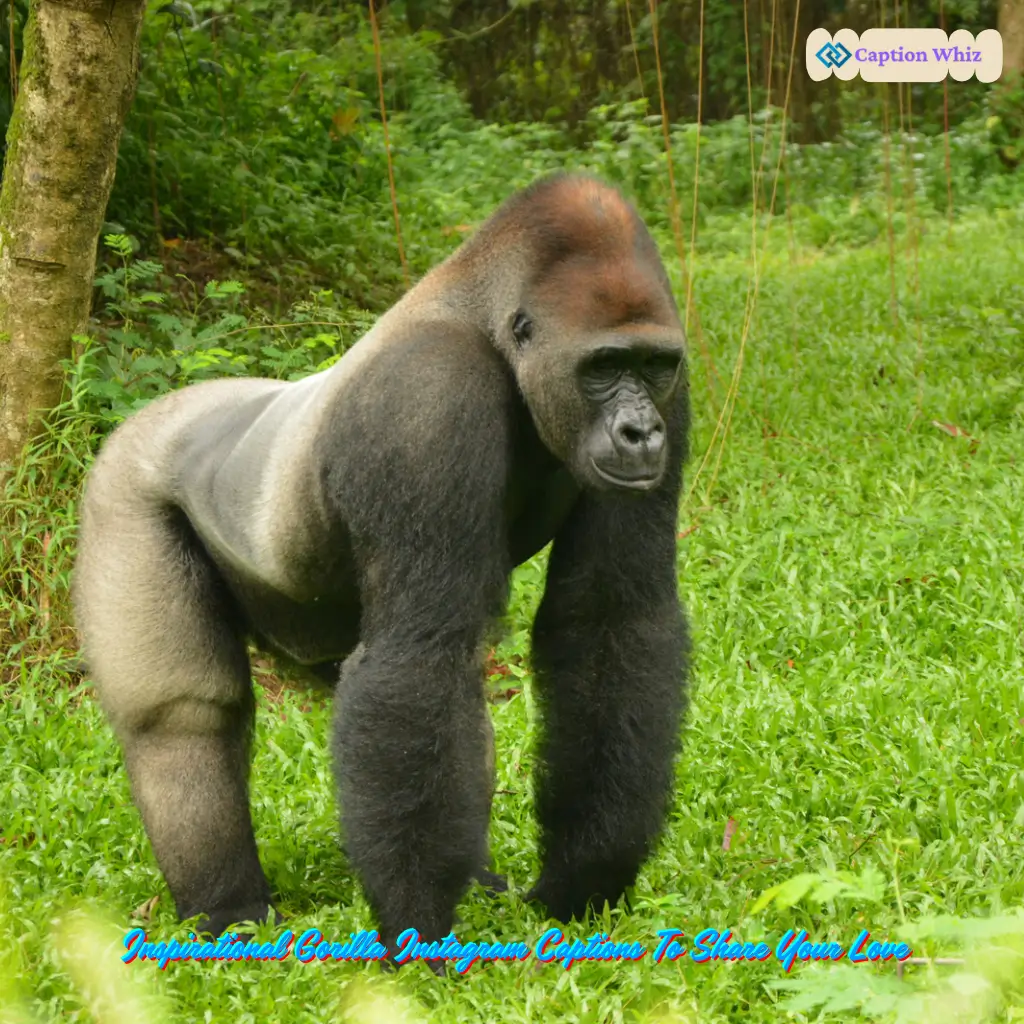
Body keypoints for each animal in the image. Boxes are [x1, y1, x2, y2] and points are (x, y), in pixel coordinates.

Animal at [73, 172, 691, 951]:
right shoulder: (426, 399)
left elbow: (608, 622)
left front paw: (584, 879)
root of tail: (152, 413)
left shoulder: (677, 395)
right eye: (604, 367)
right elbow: (419, 653)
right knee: (183, 715)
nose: (641, 431)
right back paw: (227, 909)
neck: (489, 328)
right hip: (121, 488)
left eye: (652, 365)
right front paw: (418, 926)